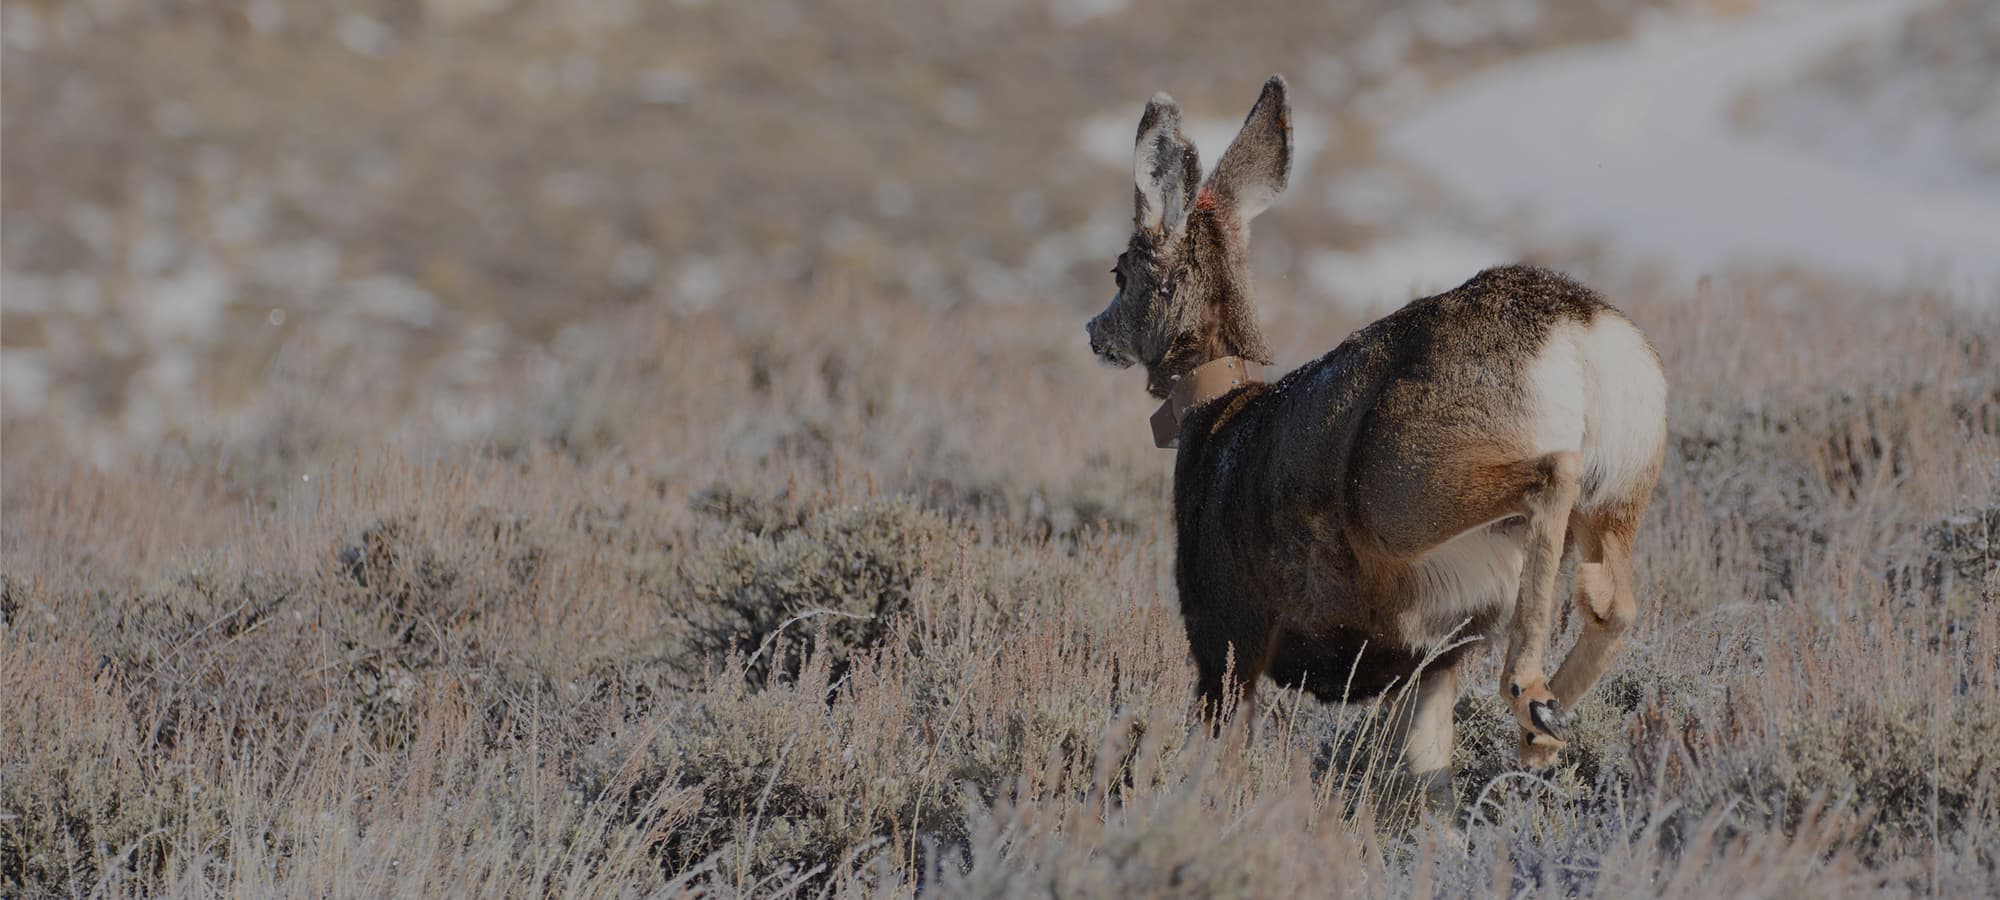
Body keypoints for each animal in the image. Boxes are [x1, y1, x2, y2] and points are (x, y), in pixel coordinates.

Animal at [1084, 76, 1667, 806]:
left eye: (1119, 273)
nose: (1093, 331)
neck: (1215, 418)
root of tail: (1582, 328)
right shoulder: (1431, 663)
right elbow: (1429, 776)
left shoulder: (1225, 630)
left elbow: (1215, 757)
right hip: (1622, 487)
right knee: (1615, 599)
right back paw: (1545, 723)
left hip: (1398, 490)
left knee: (1551, 475)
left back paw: (1531, 694)